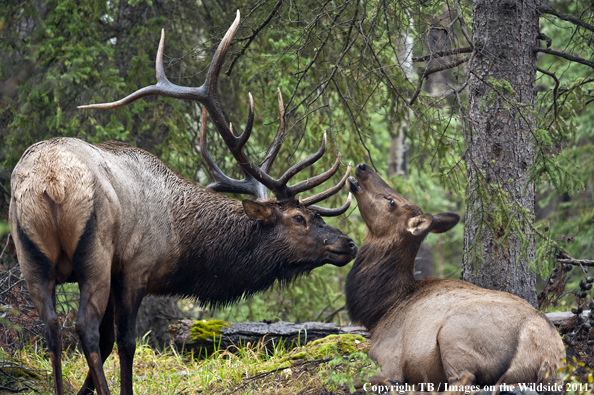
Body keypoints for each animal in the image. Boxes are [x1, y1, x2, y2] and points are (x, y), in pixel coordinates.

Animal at [8, 11, 356, 395]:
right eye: (298, 217)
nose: (348, 243)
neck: (180, 242)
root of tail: (51, 181)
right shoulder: (134, 270)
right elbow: (124, 341)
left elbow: (108, 341)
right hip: (94, 255)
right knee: (83, 326)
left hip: (29, 255)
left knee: (52, 327)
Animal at [344, 164, 560, 390]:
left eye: (391, 201)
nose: (362, 167)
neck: (380, 310)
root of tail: (548, 358)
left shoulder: (388, 359)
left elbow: (355, 379)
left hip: (454, 331)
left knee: (464, 380)